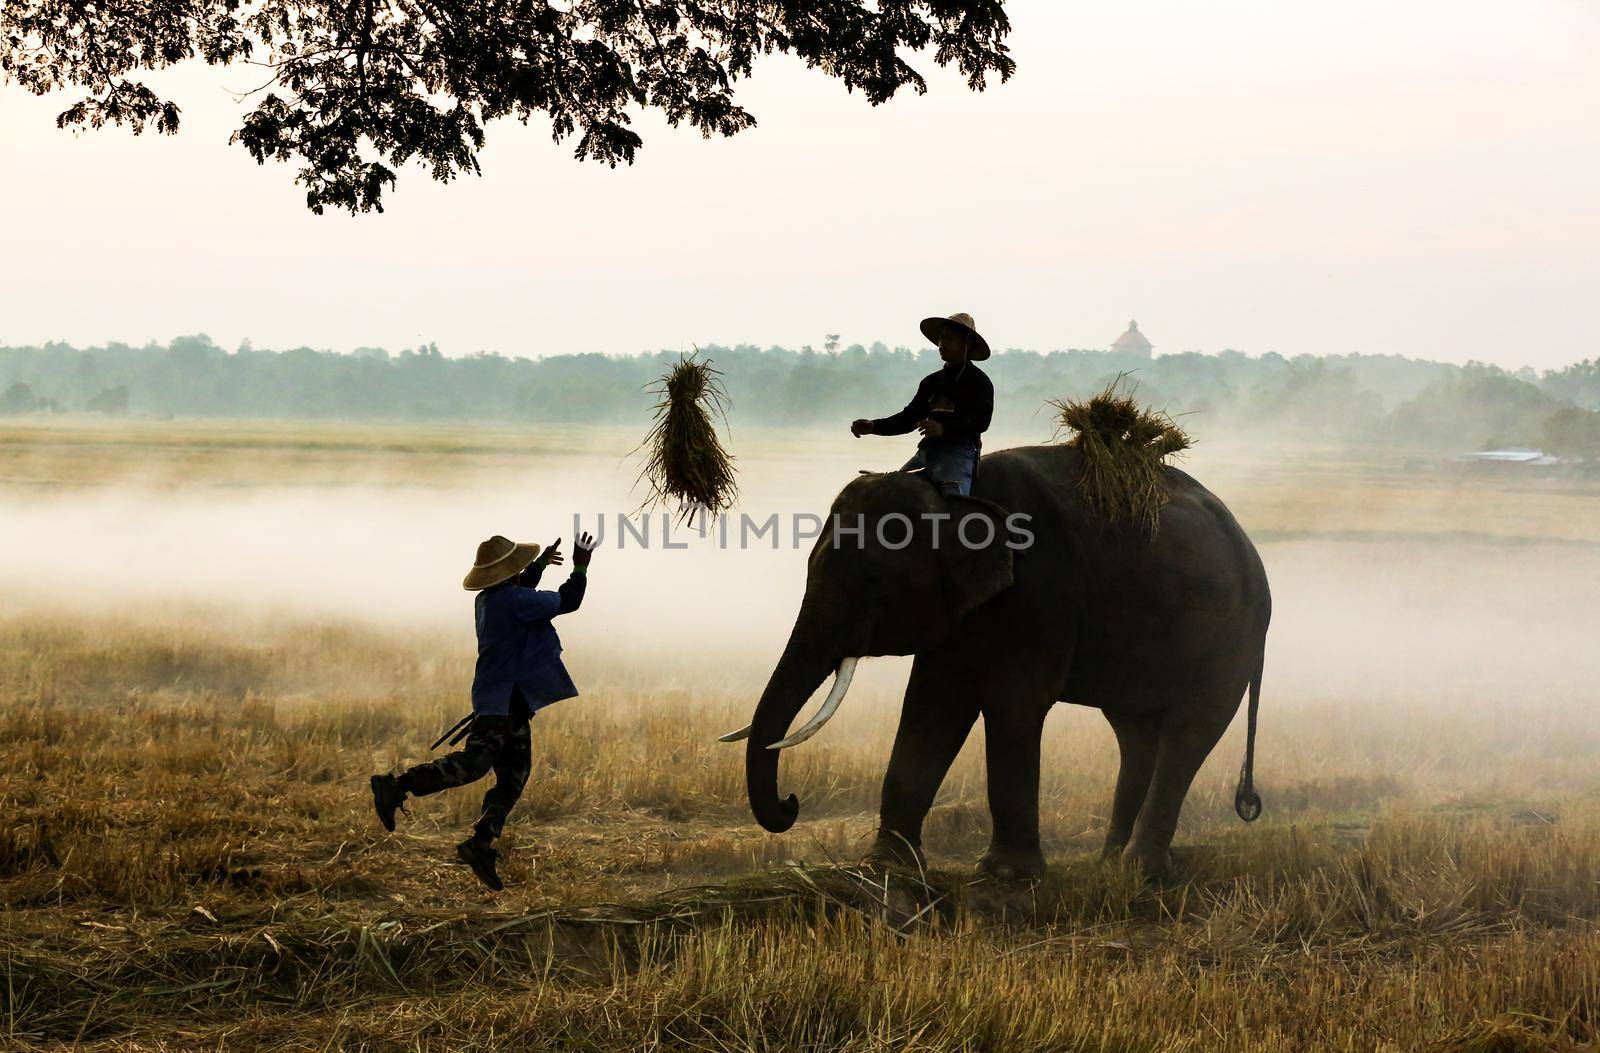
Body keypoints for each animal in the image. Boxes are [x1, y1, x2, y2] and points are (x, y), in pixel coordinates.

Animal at [723, 441, 1260, 876]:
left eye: (874, 582)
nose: (791, 802)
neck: (951, 498)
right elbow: (931, 705)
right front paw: (884, 866)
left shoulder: (1042, 591)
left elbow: (1013, 703)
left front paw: (1006, 874)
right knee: (1135, 733)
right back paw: (1109, 863)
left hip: (1233, 636)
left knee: (1189, 731)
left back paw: (1141, 871)